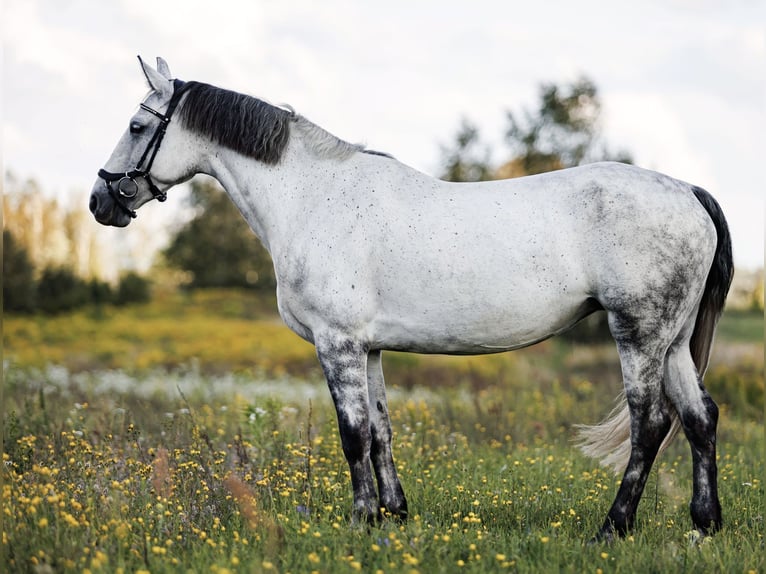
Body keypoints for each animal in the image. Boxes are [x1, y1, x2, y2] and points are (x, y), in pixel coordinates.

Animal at [91, 56, 736, 544]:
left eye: (136, 126)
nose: (102, 202)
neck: (310, 196)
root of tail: (688, 191)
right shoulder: (369, 349)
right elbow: (381, 429)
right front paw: (394, 515)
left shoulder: (338, 344)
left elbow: (352, 433)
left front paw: (361, 520)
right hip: (673, 341)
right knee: (699, 417)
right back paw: (704, 526)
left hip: (640, 335)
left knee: (650, 423)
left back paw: (613, 528)